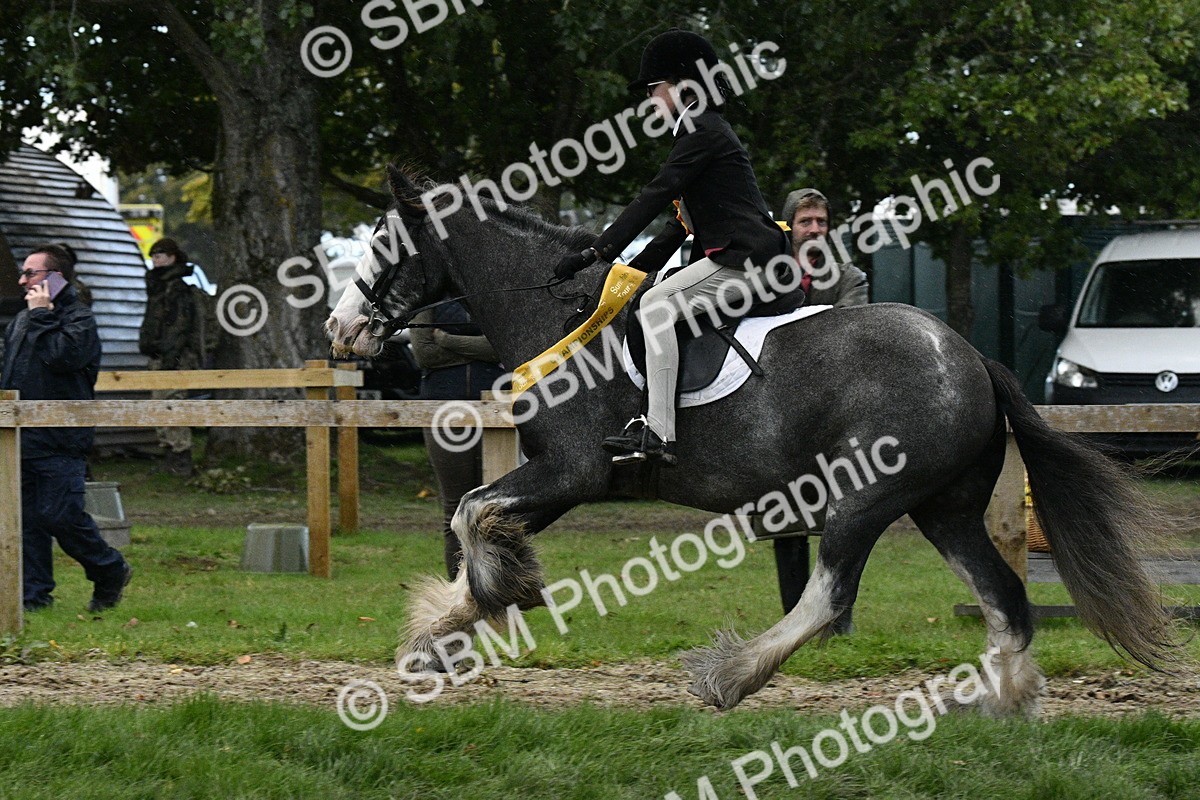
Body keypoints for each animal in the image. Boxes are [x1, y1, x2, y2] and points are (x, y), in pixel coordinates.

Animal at [326, 166, 1179, 716]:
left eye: (385, 247)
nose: (340, 327)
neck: (558, 315)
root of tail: (972, 358)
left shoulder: (572, 471)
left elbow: (472, 512)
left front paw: (499, 597)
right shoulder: (560, 480)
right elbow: (475, 518)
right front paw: (442, 631)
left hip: (867, 494)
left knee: (829, 595)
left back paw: (729, 676)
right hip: (945, 507)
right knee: (1004, 600)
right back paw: (1003, 703)